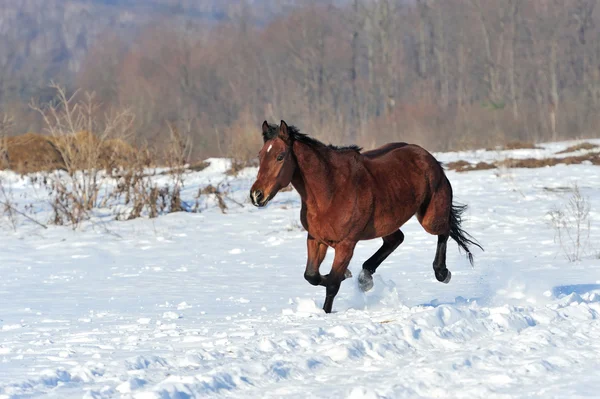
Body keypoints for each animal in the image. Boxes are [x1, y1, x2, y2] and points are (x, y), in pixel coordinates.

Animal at [248, 120, 482, 314]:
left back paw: (442, 273)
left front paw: (327, 310)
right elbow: (311, 276)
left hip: (430, 219)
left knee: (443, 231)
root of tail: (428, 157)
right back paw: (365, 278)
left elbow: (332, 283)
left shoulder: (346, 244)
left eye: (280, 157)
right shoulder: (316, 239)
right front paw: (349, 275)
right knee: (396, 239)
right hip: (387, 223)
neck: (330, 190)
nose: (256, 195)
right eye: (260, 156)